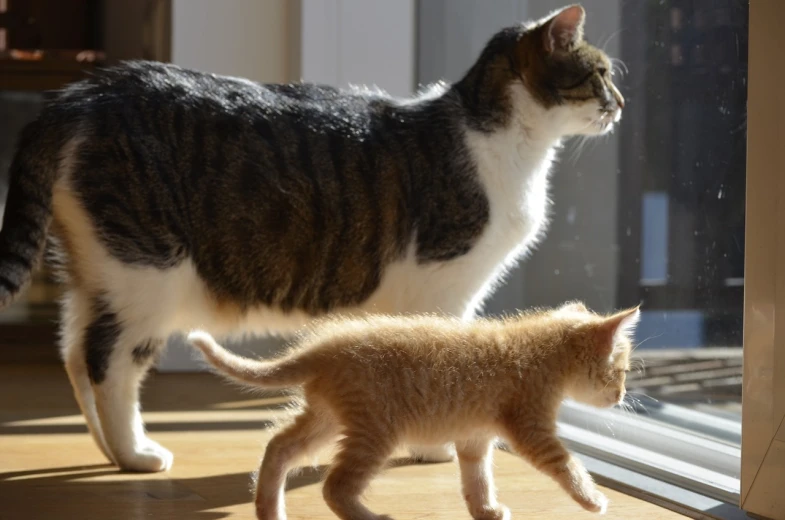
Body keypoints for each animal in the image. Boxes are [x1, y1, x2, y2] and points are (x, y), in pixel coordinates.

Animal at [1, 4, 624, 474]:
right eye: (599, 74)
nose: (620, 105)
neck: (498, 140)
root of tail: (85, 92)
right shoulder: (442, 286)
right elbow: (436, 358)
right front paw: (434, 448)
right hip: (147, 271)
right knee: (107, 360)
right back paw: (135, 454)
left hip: (97, 269)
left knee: (72, 350)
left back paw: (108, 448)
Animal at [188, 300, 636, 520]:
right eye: (621, 370)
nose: (620, 396)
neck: (539, 350)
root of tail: (323, 349)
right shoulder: (532, 430)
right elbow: (567, 464)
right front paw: (593, 501)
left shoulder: (473, 437)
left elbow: (477, 477)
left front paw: (485, 510)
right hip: (375, 432)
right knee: (335, 486)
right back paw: (370, 518)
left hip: (327, 418)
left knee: (278, 447)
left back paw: (269, 510)